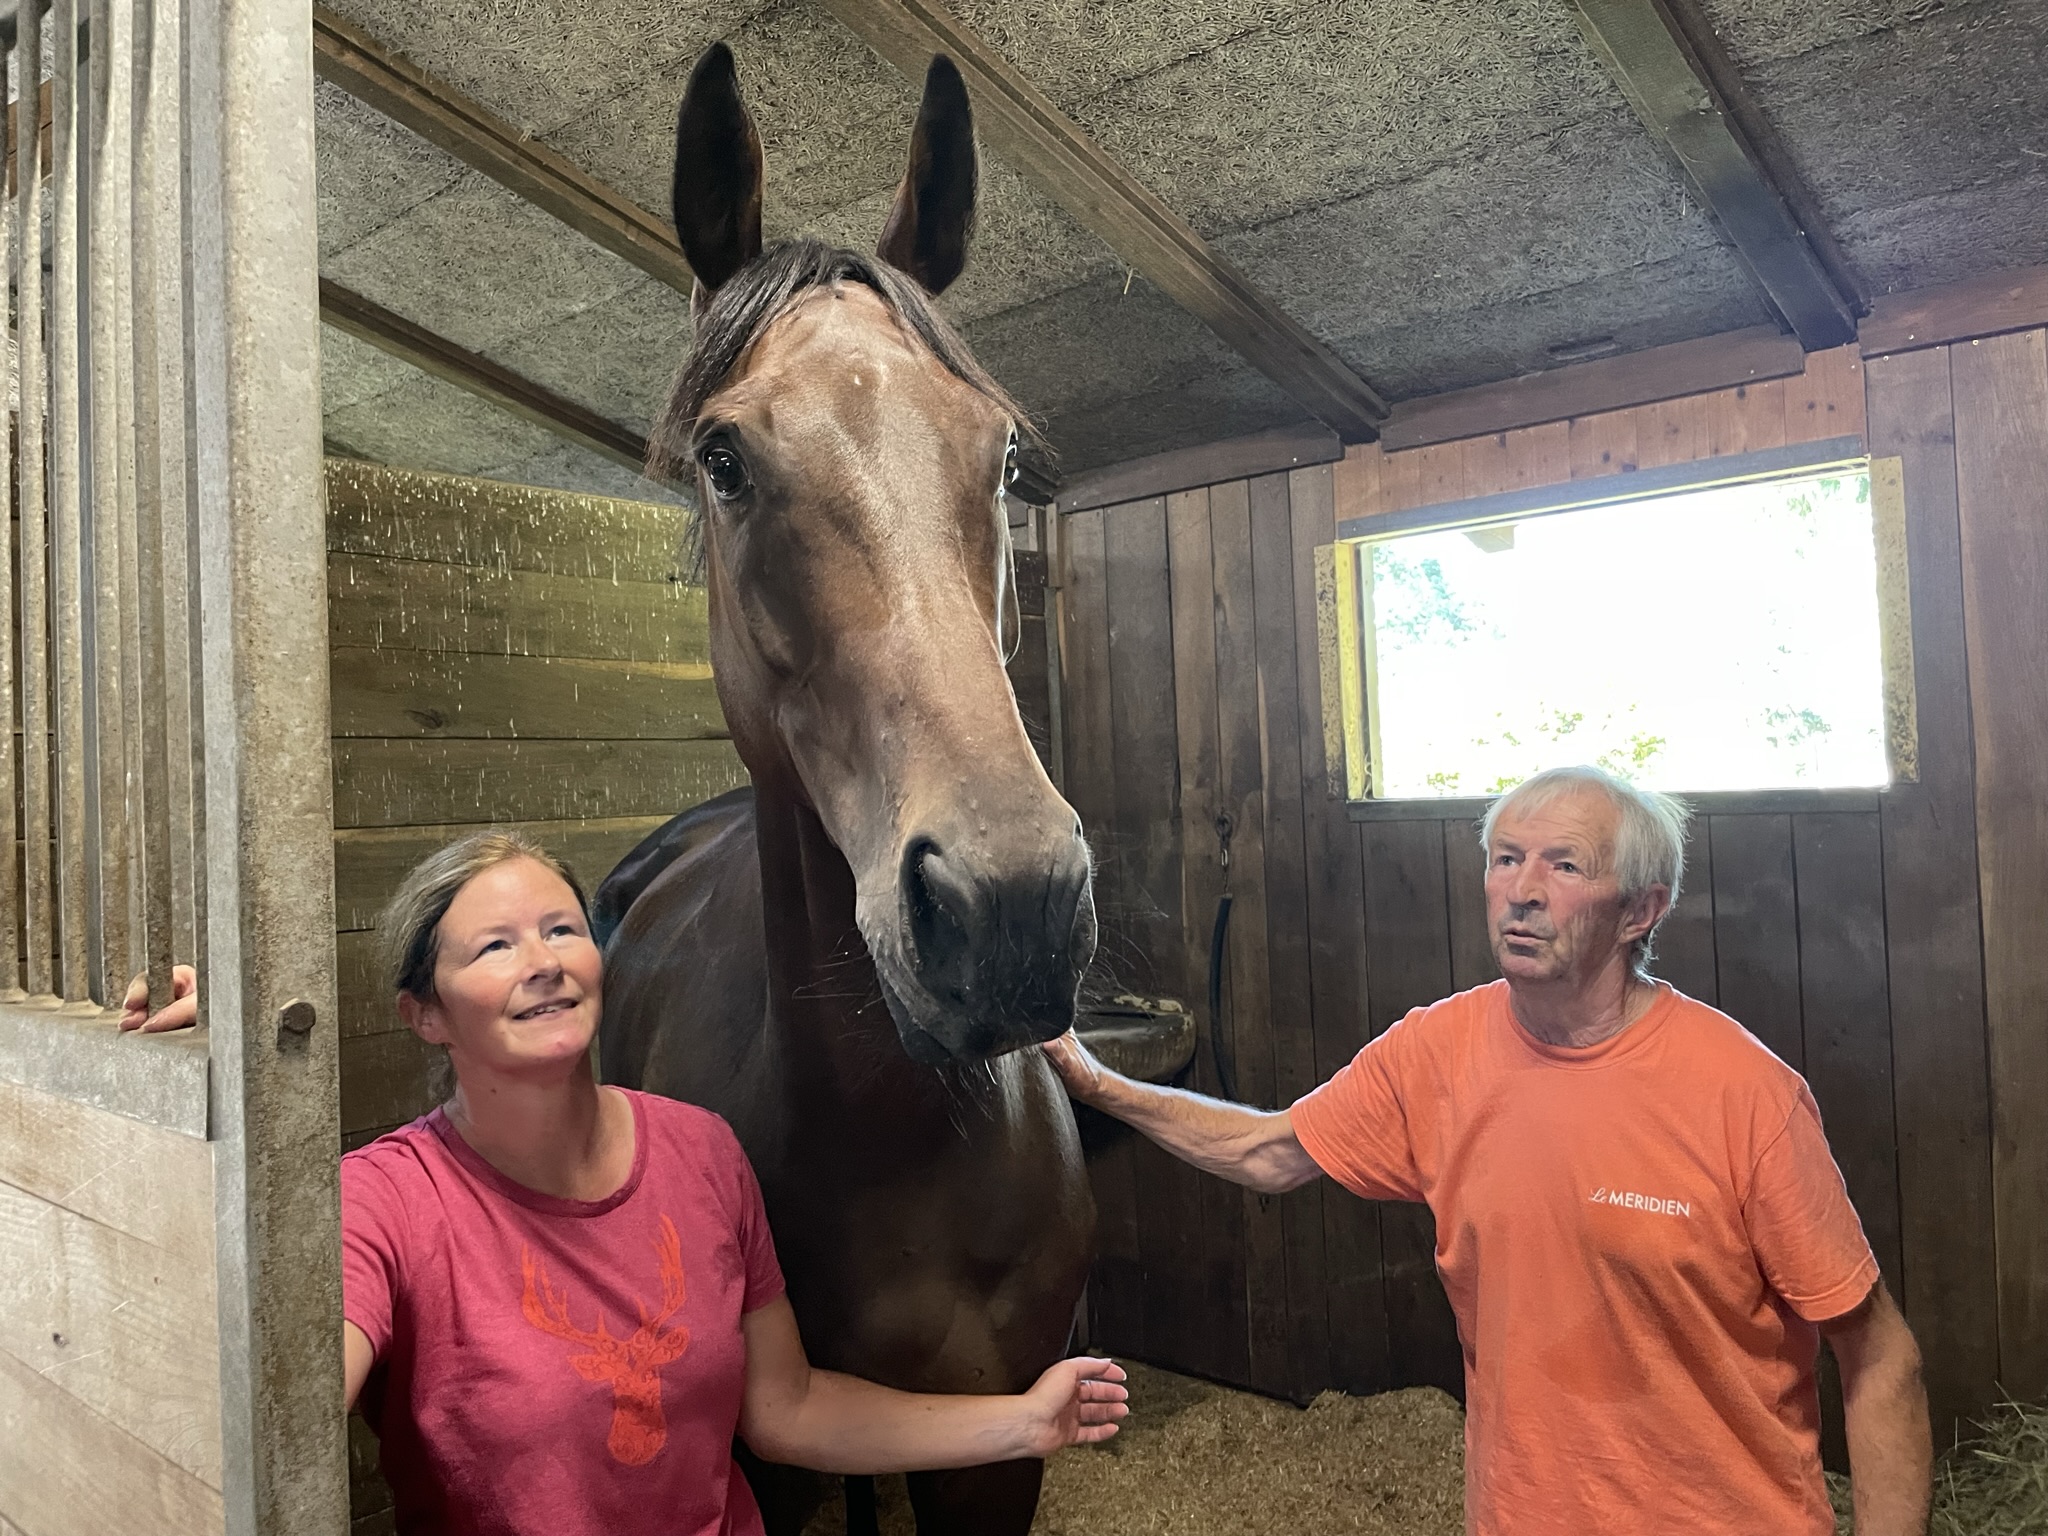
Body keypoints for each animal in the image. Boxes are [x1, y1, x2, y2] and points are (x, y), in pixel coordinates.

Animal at [594, 44, 1098, 1536]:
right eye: (723, 457)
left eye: (1001, 455)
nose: (1010, 908)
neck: (902, 1145)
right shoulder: (770, 1460)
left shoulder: (1000, 1455)